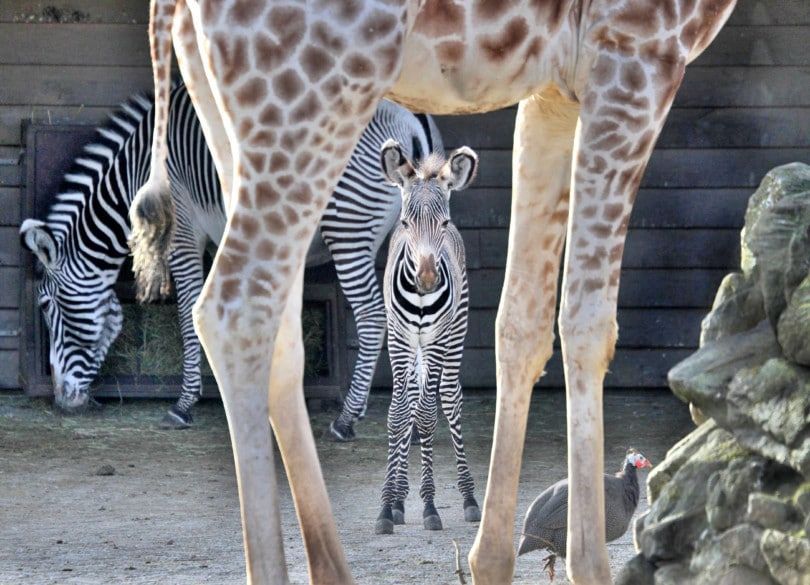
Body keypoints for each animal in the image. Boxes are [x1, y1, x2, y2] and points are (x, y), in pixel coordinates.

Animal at [17, 82, 442, 434]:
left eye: (45, 305)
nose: (63, 400)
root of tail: (412, 119)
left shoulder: (184, 232)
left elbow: (189, 312)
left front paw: (184, 405)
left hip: (349, 226)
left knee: (372, 315)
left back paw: (346, 419)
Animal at [374, 140, 480, 532]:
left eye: (443, 223)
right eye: (405, 223)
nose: (428, 279)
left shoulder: (436, 341)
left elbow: (426, 415)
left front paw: (430, 505)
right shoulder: (400, 339)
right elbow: (398, 413)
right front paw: (387, 505)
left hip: (455, 333)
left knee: (448, 398)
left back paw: (468, 498)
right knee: (407, 402)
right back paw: (399, 498)